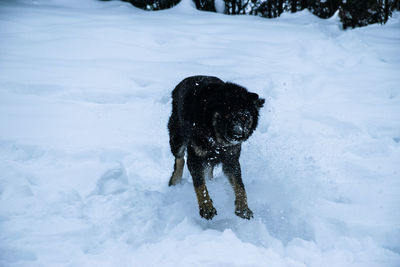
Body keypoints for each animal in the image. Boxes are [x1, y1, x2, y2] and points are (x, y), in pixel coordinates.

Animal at [167, 75, 264, 220]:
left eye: (244, 117)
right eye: (227, 115)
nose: (237, 134)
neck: (216, 140)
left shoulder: (231, 160)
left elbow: (240, 185)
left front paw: (243, 207)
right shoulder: (195, 159)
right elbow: (200, 185)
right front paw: (207, 207)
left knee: (208, 170)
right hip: (177, 139)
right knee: (179, 159)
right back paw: (175, 180)